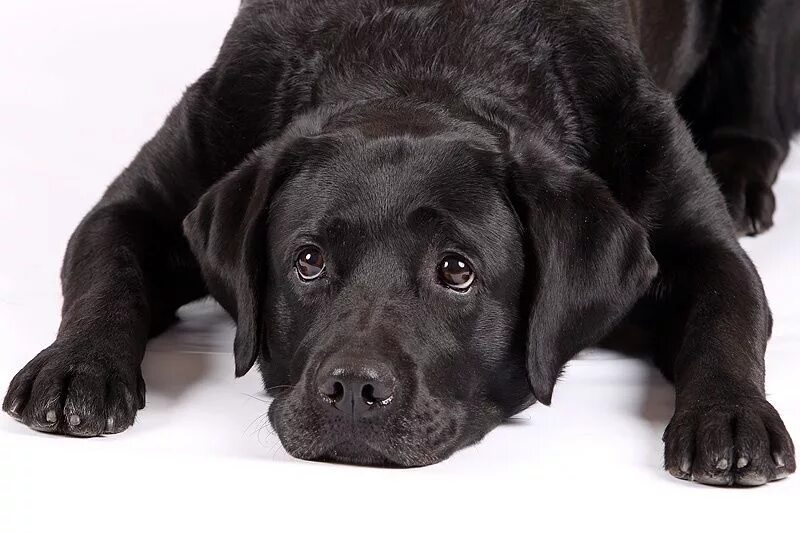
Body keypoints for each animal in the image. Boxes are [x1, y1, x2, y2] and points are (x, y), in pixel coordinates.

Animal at [3, 0, 796, 482]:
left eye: (457, 270)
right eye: (308, 261)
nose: (355, 388)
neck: (425, 51)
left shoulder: (701, 245)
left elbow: (727, 314)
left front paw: (730, 418)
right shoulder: (148, 195)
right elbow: (107, 264)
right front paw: (76, 367)